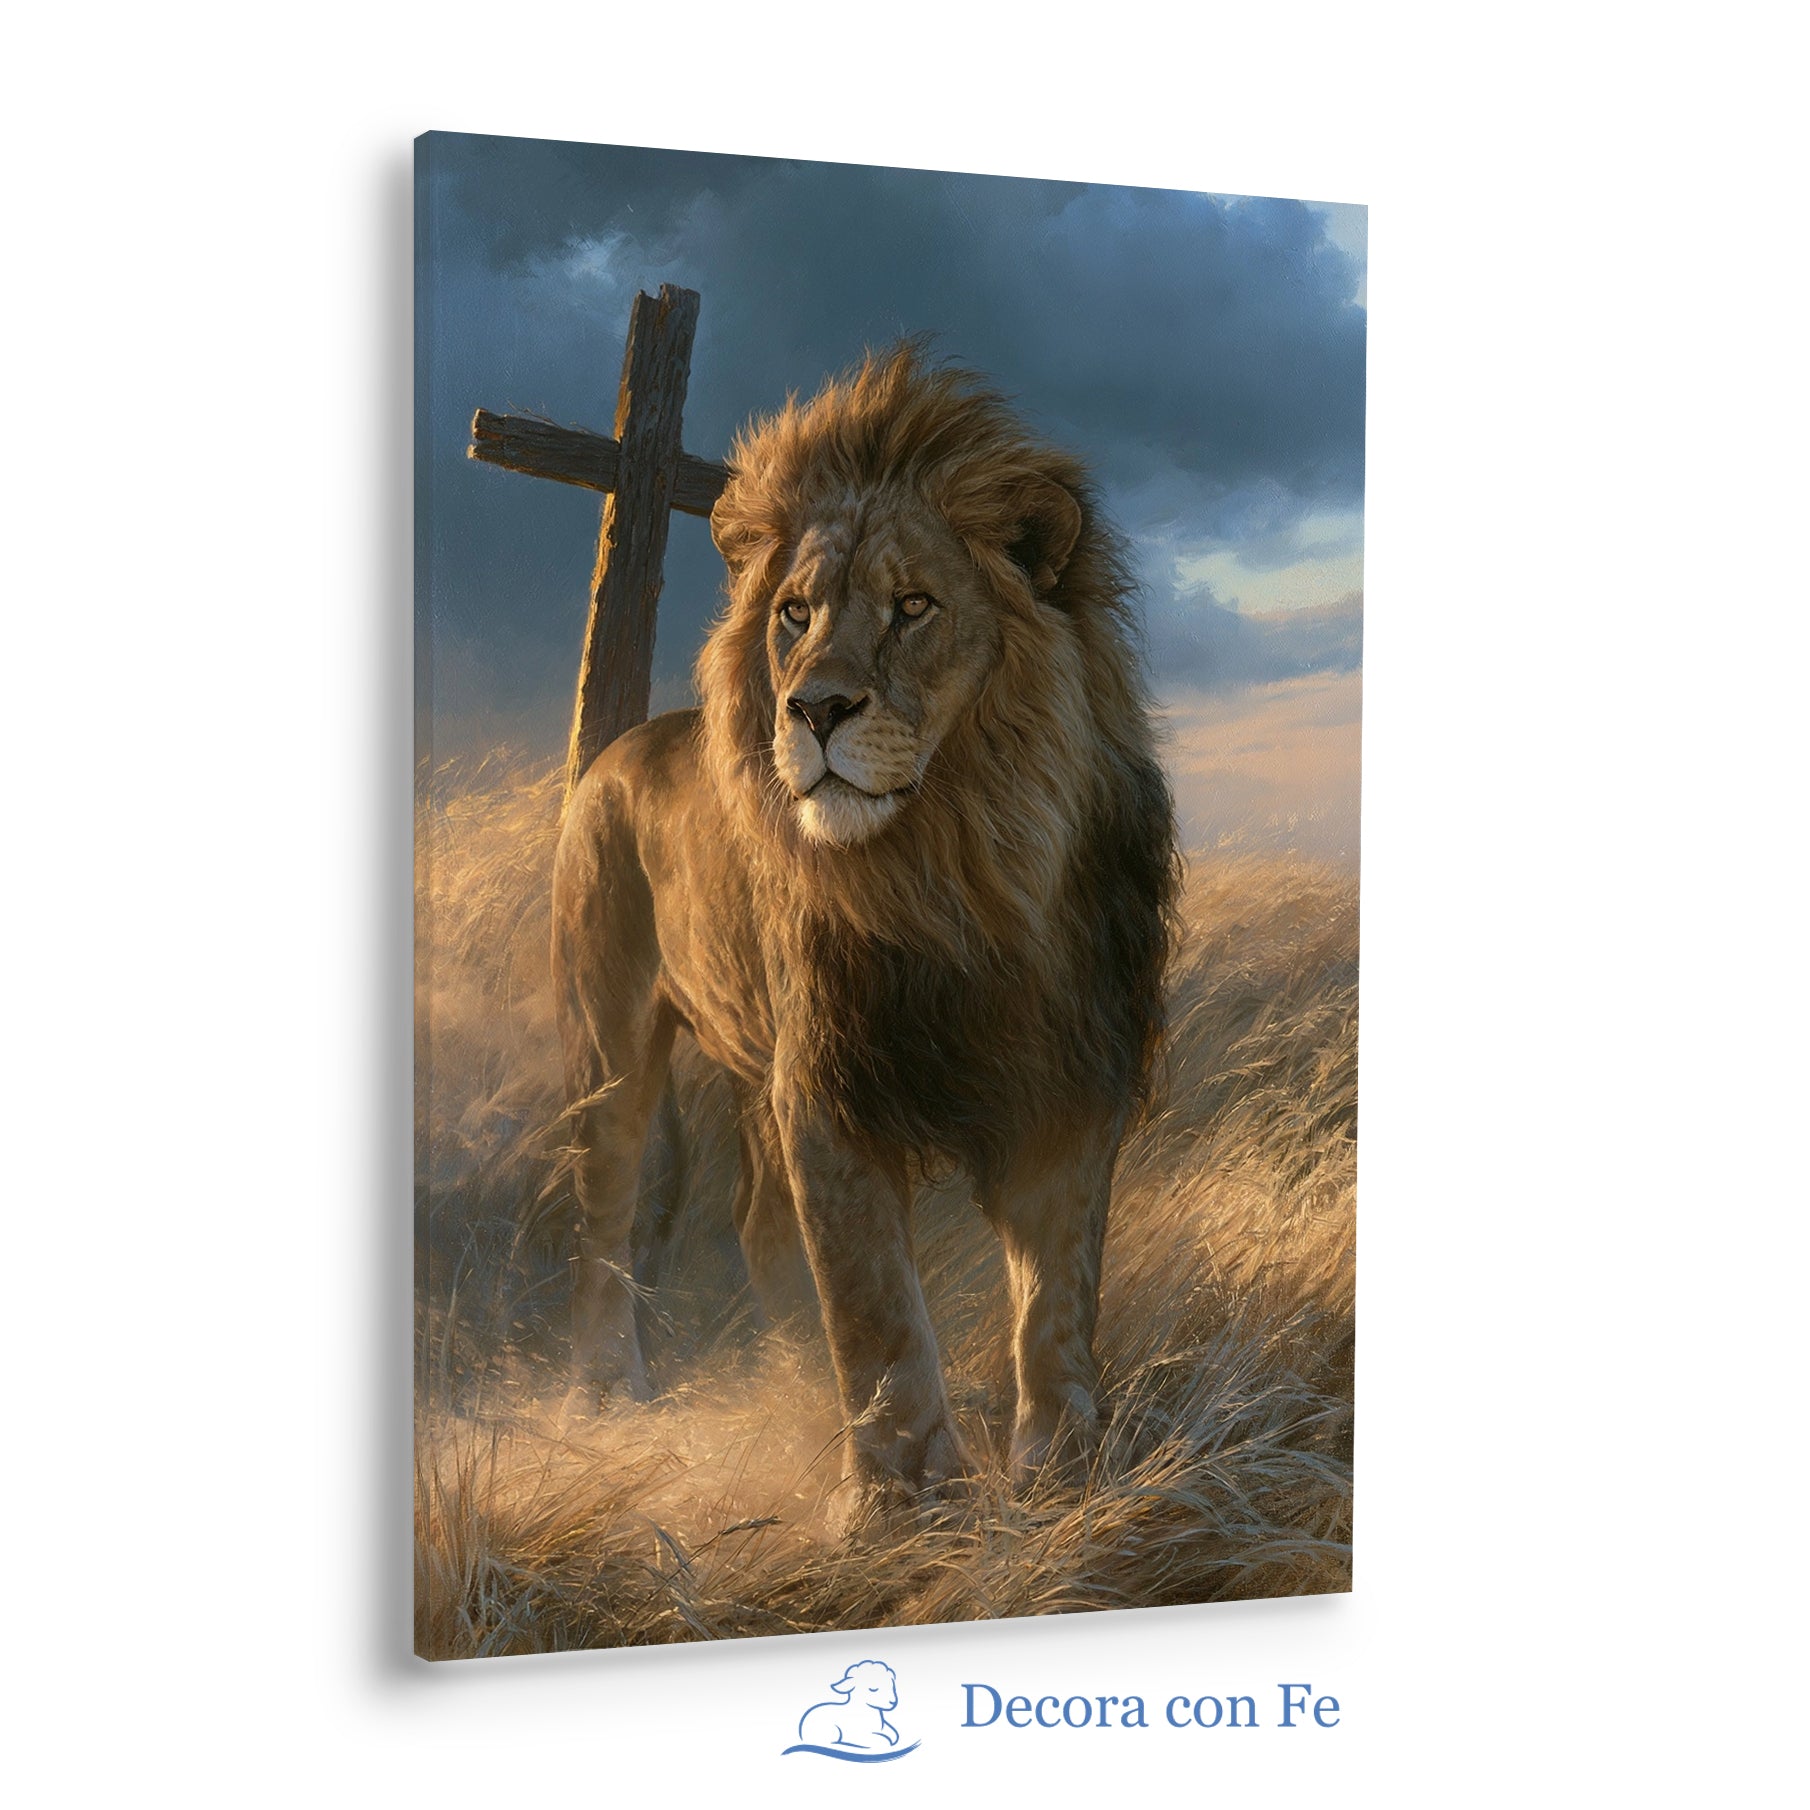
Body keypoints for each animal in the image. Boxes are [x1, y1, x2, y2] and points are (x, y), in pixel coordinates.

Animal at [551, 345, 1178, 1516]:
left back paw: (796, 1385)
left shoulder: (1066, 1072)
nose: (814, 710)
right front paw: (906, 1494)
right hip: (608, 1043)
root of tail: (617, 747)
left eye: (913, 605)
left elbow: (1058, 1296)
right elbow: (874, 1298)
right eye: (794, 614)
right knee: (605, 1220)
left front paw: (1066, 1472)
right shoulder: (830, 1083)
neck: (954, 869)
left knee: (756, 1219)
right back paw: (608, 1394)